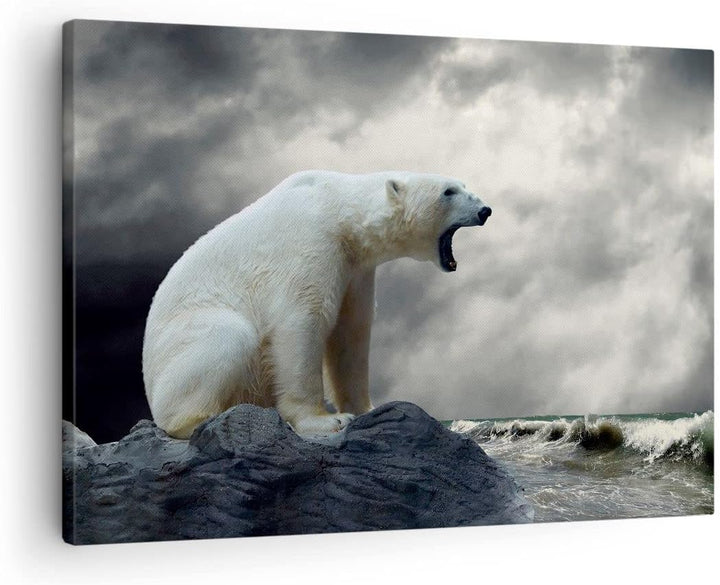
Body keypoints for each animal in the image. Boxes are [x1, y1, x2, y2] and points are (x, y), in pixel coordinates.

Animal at [142, 171, 491, 438]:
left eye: (462, 184)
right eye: (448, 191)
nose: (485, 210)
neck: (338, 209)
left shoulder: (355, 268)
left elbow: (351, 332)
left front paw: (368, 408)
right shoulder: (311, 244)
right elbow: (302, 320)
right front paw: (326, 420)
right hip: (188, 334)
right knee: (229, 336)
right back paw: (201, 420)